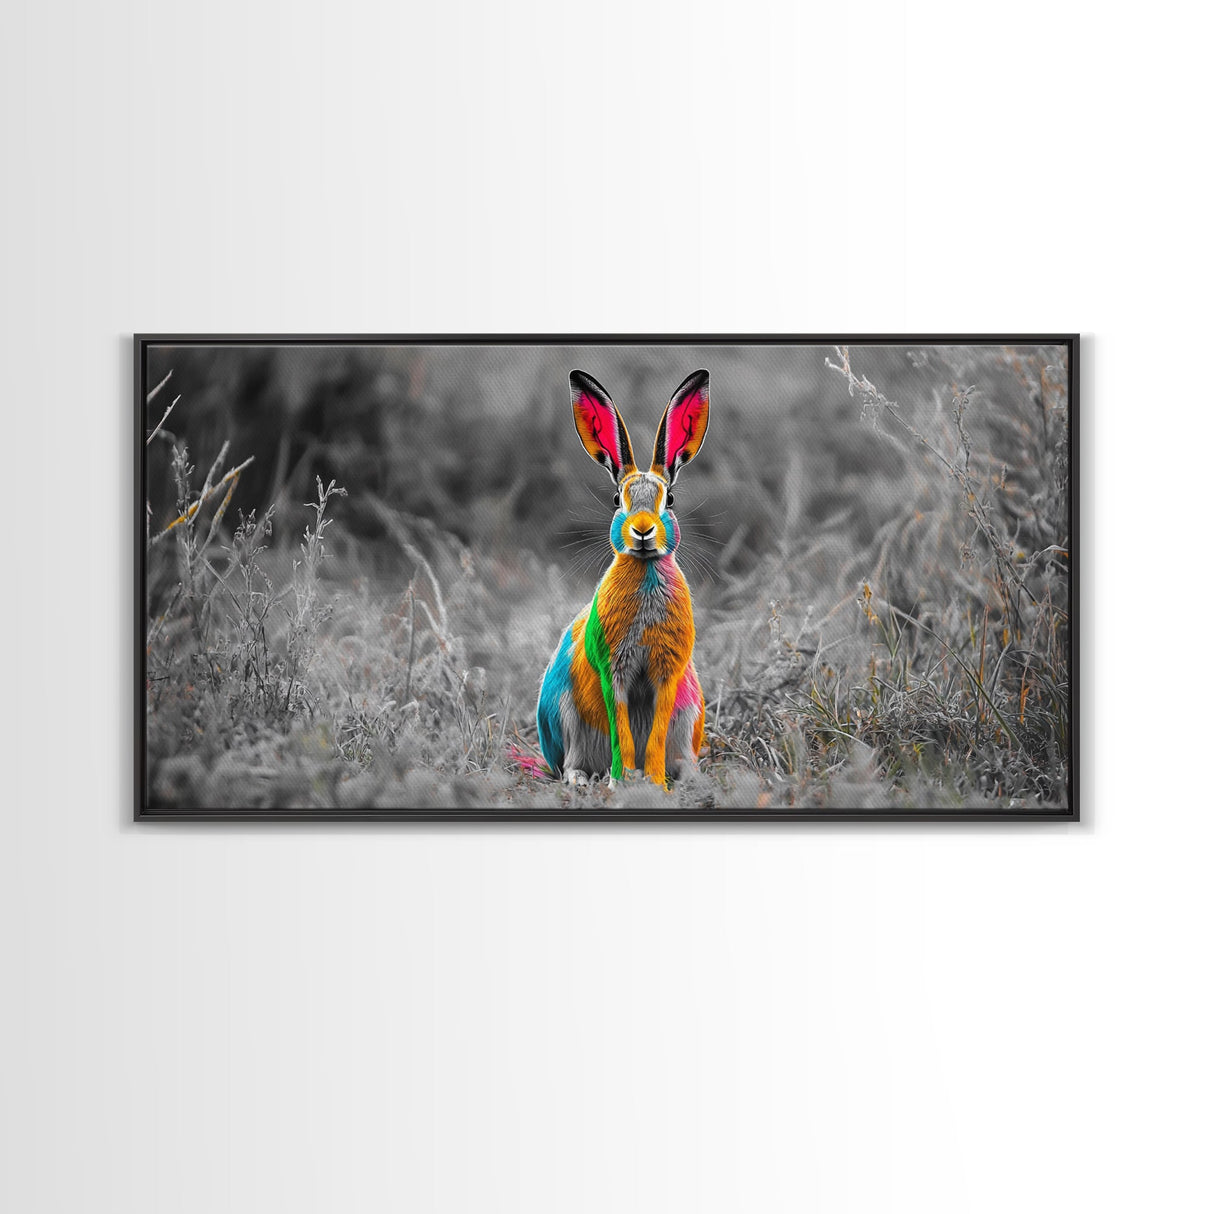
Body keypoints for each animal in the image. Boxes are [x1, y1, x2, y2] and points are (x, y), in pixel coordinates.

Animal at [537, 368, 710, 789]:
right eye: (618, 500)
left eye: (670, 500)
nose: (643, 531)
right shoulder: (613, 669)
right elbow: (622, 728)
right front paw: (622, 781)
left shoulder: (668, 675)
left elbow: (657, 730)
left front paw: (655, 782)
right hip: (564, 715)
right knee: (570, 763)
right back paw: (583, 779)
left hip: (691, 709)